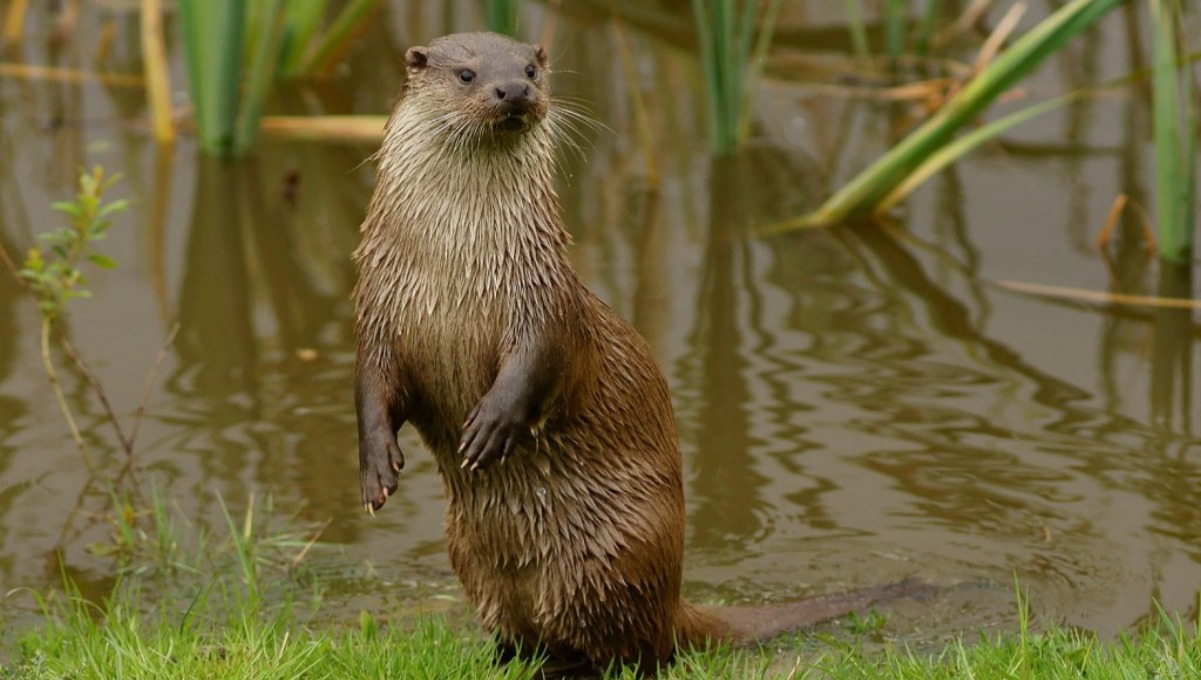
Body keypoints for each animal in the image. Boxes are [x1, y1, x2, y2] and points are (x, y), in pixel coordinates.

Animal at [350, 30, 922, 677]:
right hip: (471, 556)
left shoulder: (543, 304)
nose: (514, 89)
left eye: (529, 69)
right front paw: (376, 472)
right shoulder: (378, 313)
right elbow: (371, 388)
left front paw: (491, 426)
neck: (452, 274)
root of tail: (673, 597)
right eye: (468, 74)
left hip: (612, 555)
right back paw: (502, 656)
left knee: (634, 649)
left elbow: (538, 364)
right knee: (521, 627)